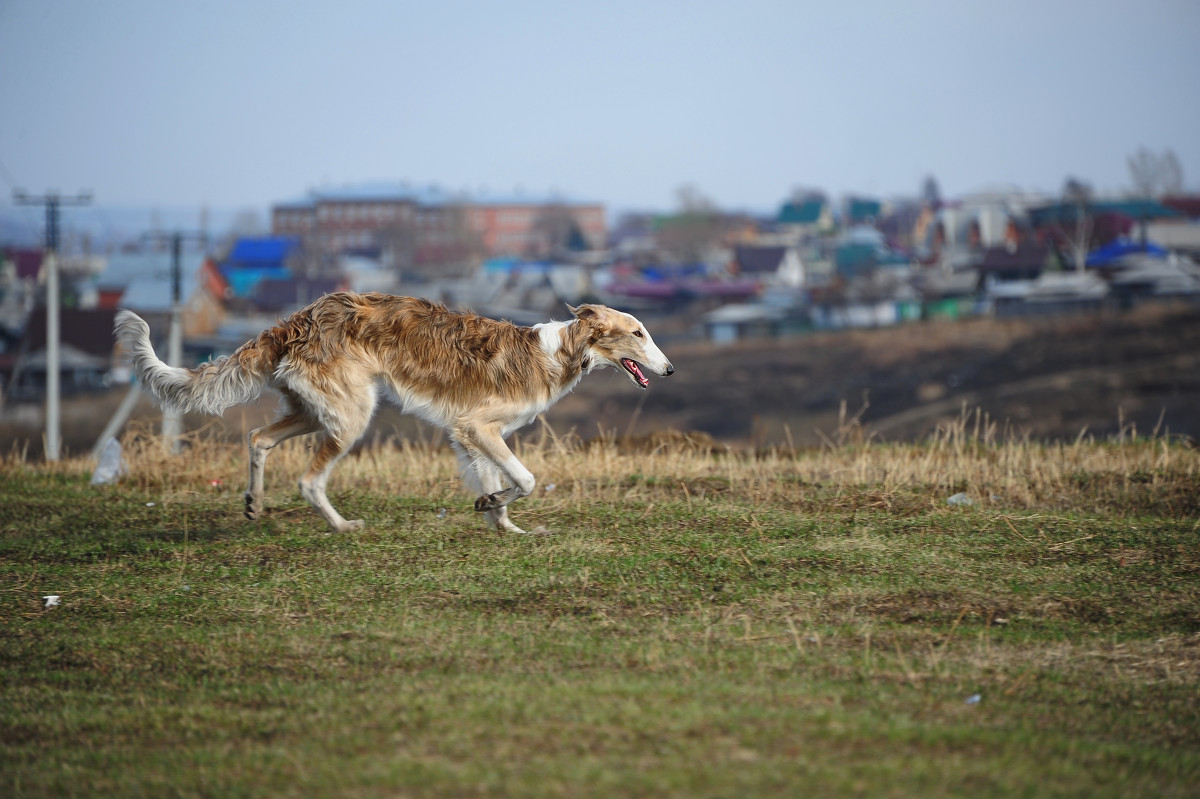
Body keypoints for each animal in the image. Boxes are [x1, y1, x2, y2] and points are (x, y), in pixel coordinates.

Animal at [112, 289, 676, 532]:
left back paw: (254, 504)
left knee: (259, 439)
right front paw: (497, 508)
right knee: (309, 481)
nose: (670, 370)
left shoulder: (470, 435)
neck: (558, 351)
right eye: (639, 332)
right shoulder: (477, 427)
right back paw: (343, 527)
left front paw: (502, 523)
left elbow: (496, 484)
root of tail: (298, 320)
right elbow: (526, 479)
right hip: (349, 417)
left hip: (314, 410)